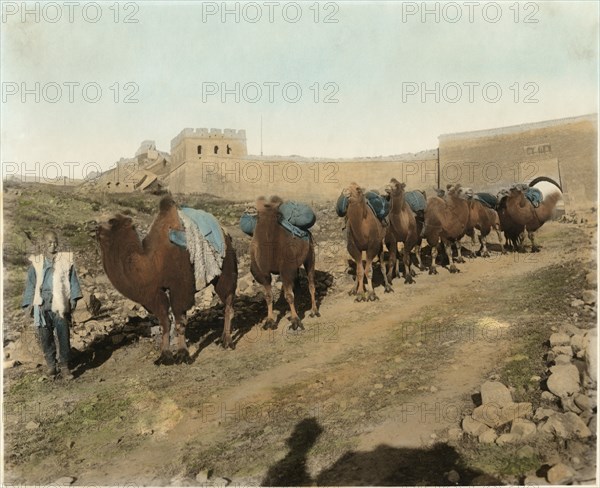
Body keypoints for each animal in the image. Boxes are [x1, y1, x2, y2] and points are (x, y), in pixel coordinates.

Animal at [97, 196, 238, 364]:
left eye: (112, 221)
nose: (95, 228)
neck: (151, 263)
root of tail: (225, 231)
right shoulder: (155, 293)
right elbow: (164, 322)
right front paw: (164, 355)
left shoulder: (180, 288)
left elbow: (179, 321)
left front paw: (183, 354)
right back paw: (222, 338)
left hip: (225, 268)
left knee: (228, 302)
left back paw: (227, 341)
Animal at [250, 196, 318, 330]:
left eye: (278, 214)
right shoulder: (264, 273)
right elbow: (268, 296)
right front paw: (270, 321)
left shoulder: (286, 269)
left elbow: (289, 296)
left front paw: (296, 321)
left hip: (310, 257)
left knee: (311, 284)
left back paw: (314, 311)